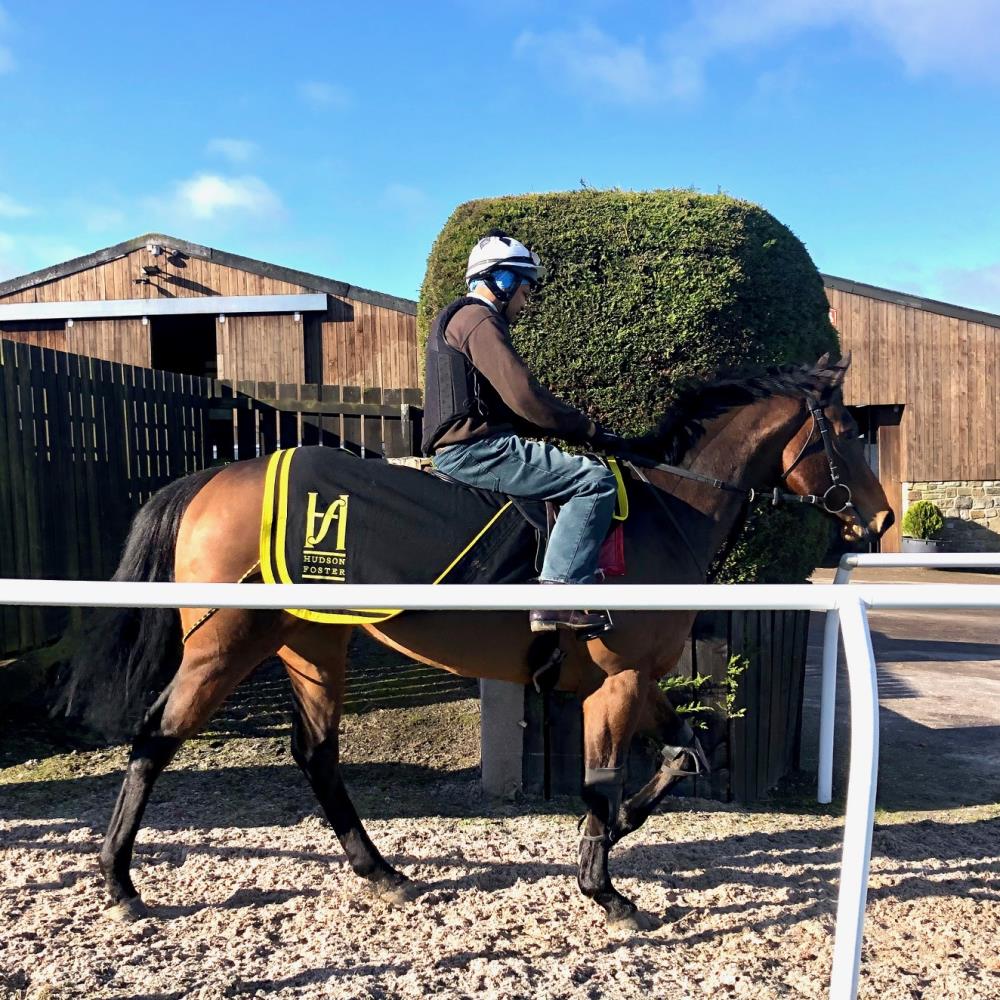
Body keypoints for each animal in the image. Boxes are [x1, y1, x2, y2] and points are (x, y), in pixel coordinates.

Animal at [62, 354, 892, 930]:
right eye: (850, 434)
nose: (882, 518)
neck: (665, 509)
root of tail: (217, 474)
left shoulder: (635, 678)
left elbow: (685, 754)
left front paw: (610, 840)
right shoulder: (618, 681)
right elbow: (602, 778)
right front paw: (603, 887)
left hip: (314, 647)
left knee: (317, 754)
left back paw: (380, 871)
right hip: (225, 645)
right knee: (156, 737)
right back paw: (120, 882)